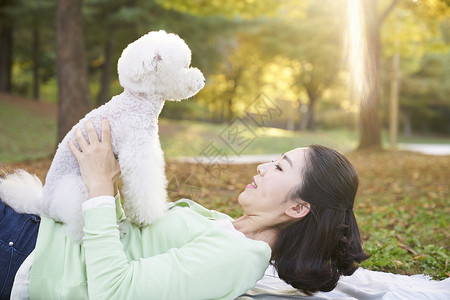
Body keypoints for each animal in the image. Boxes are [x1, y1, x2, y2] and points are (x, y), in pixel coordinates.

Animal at [0, 30, 206, 241]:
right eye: (185, 66)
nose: (203, 80)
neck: (138, 102)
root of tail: (43, 205)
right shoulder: (139, 151)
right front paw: (148, 217)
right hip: (77, 188)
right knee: (78, 228)